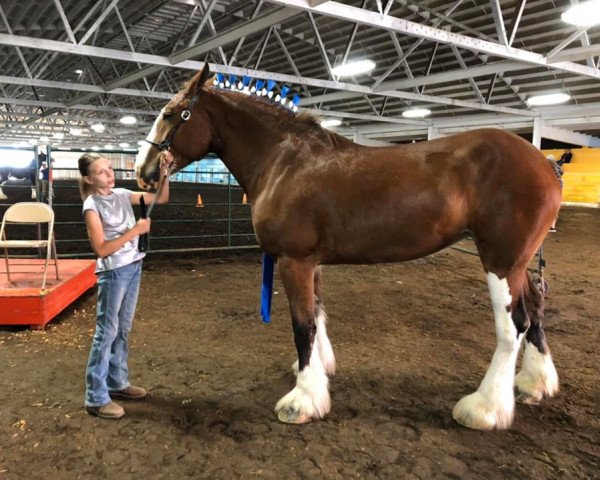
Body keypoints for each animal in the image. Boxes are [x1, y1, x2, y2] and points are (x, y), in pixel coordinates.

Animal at [135, 65, 564, 430]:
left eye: (171, 114)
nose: (143, 172)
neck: (284, 161)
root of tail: (545, 163)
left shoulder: (294, 261)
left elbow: (303, 325)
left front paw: (303, 401)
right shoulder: (312, 262)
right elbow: (318, 315)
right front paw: (317, 373)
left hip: (499, 260)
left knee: (514, 326)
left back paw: (485, 408)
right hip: (518, 263)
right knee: (536, 311)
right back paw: (534, 384)